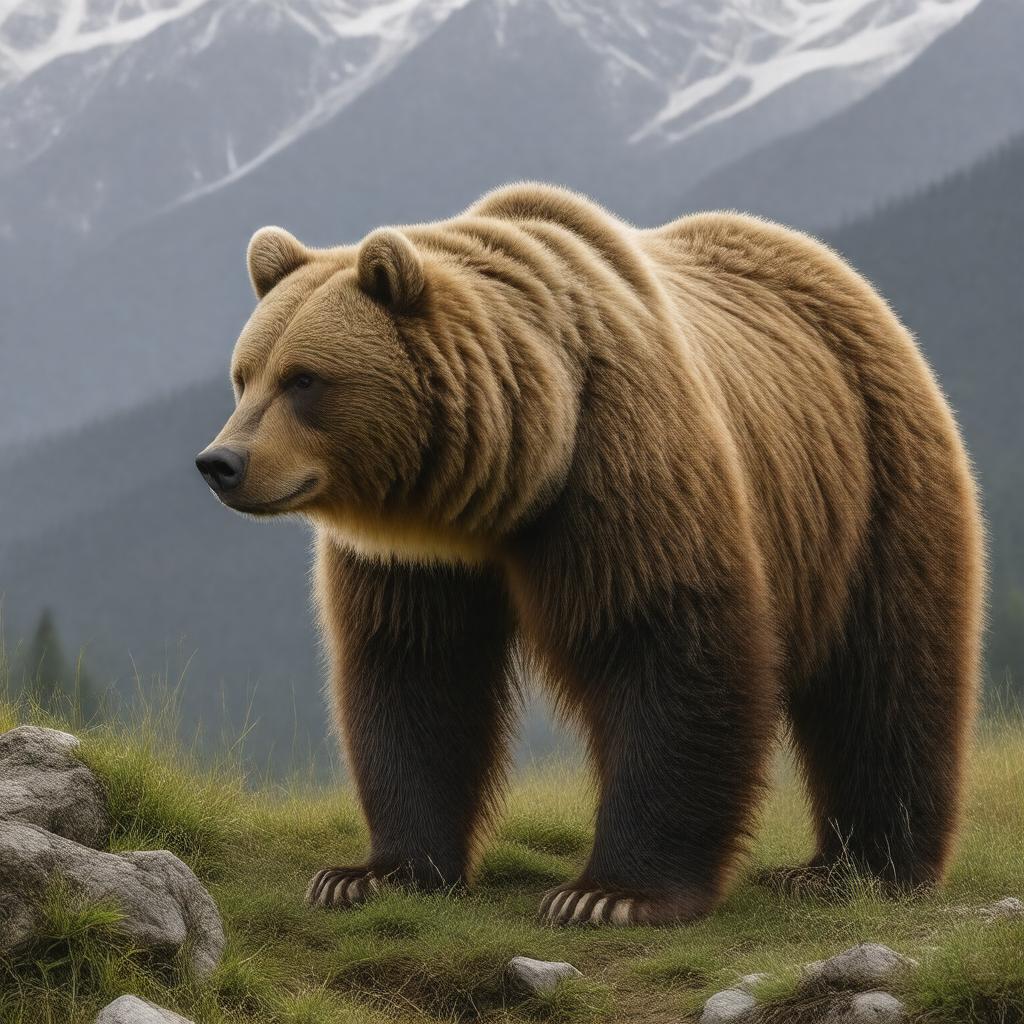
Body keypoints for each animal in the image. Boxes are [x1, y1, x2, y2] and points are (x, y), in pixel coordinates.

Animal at [197, 183, 984, 926]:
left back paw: (864, 868)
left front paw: (609, 894)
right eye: (244, 374)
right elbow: (413, 672)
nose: (221, 463)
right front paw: (370, 874)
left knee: (885, 676)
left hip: (875, 483)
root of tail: (843, 275)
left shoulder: (622, 467)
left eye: (303, 379)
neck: (515, 467)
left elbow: (663, 645)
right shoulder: (416, 558)